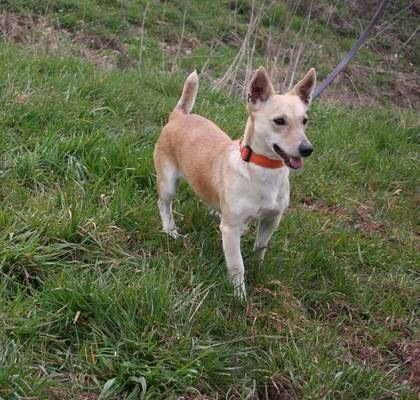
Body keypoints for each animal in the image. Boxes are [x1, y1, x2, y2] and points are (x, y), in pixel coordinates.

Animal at [154, 66, 316, 297]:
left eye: (305, 121)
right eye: (279, 121)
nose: (307, 149)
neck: (263, 169)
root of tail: (178, 116)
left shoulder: (271, 220)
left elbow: (260, 247)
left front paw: (257, 269)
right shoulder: (230, 230)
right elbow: (237, 265)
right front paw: (240, 295)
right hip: (168, 183)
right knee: (164, 204)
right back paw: (170, 230)